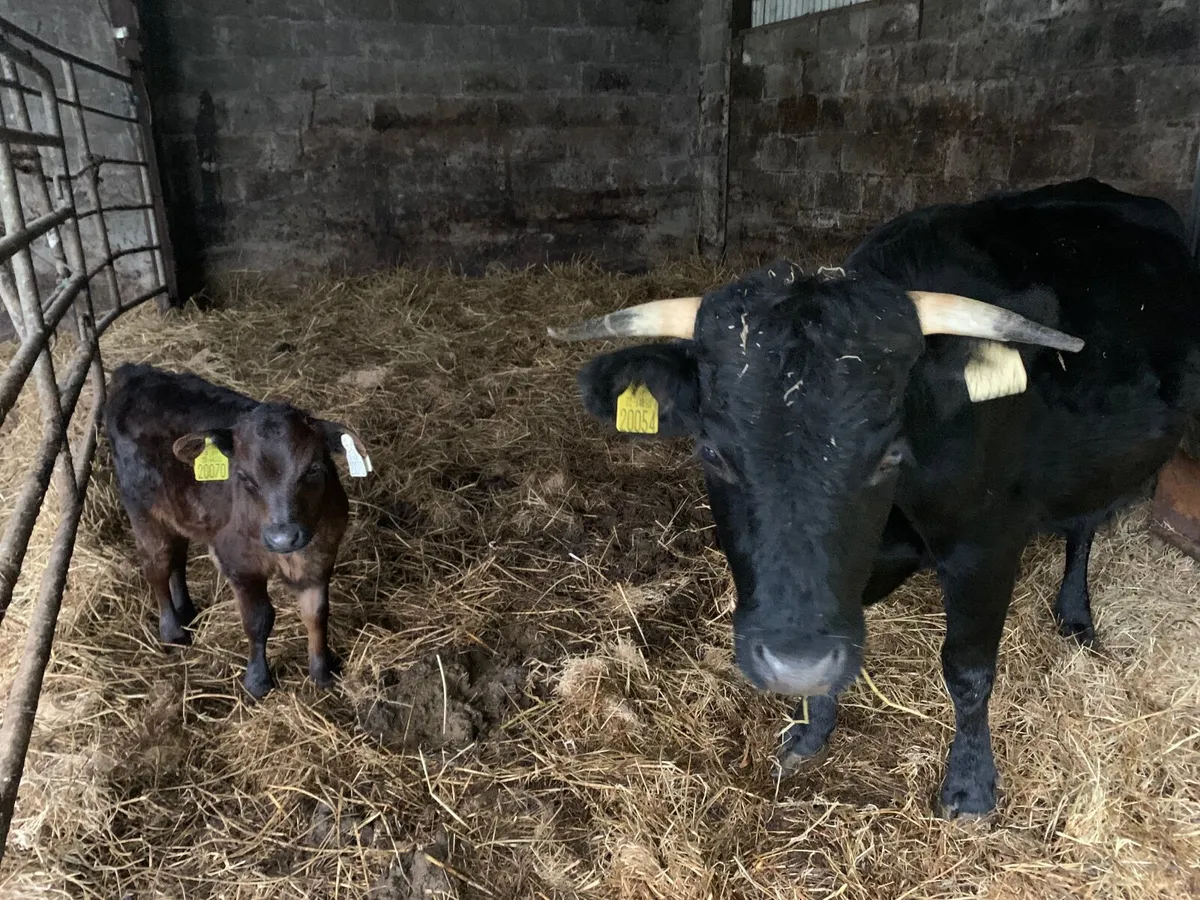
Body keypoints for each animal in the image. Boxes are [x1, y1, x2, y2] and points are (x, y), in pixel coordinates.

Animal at [104, 364, 371, 699]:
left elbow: (317, 614)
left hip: (182, 512)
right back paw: (172, 630)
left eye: (313, 469)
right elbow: (258, 620)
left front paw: (322, 672)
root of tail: (134, 372)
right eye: (244, 476)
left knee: (178, 558)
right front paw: (258, 682)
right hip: (143, 511)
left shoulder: (321, 555)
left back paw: (186, 611)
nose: (283, 537)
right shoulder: (240, 564)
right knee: (157, 567)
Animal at [548, 178, 1200, 816]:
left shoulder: (987, 546)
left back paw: (1075, 614)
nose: (793, 661)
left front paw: (971, 785)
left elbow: (968, 669)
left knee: (1085, 525)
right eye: (711, 451)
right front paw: (811, 733)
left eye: (890, 452)